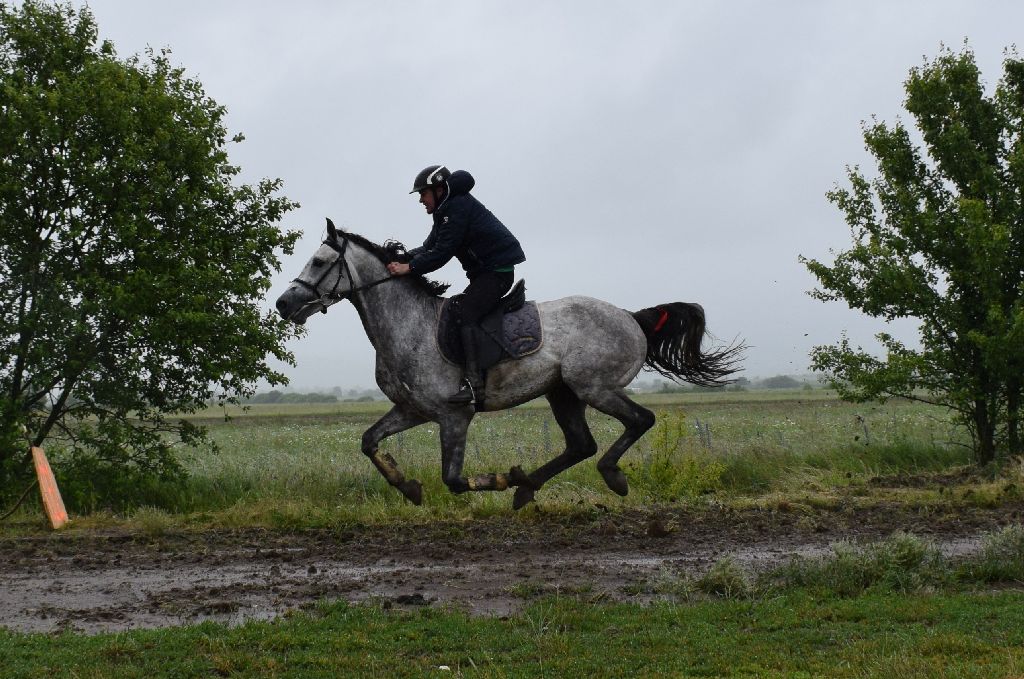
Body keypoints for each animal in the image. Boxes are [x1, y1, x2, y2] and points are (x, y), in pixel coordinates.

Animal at [276, 220, 741, 512]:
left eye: (319, 263)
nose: (284, 304)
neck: (409, 324)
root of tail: (630, 316)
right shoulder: (412, 410)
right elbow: (369, 441)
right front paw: (407, 486)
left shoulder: (454, 415)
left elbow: (454, 479)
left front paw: (498, 481)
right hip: (562, 393)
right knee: (580, 445)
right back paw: (527, 488)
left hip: (594, 387)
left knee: (639, 421)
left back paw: (607, 476)